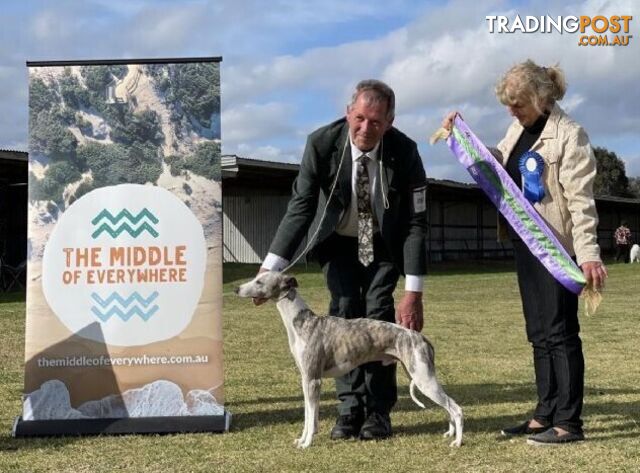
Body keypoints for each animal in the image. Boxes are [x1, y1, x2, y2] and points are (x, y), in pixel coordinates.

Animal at [232, 272, 462, 448]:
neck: (302, 322)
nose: (235, 289)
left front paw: (306, 444)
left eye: (259, 281)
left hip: (424, 379)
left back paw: (457, 442)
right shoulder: (306, 379)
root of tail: (421, 337)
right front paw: (302, 439)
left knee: (456, 408)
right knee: (448, 407)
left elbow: (310, 417)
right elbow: (308, 416)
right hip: (420, 375)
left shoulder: (313, 380)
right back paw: (450, 434)